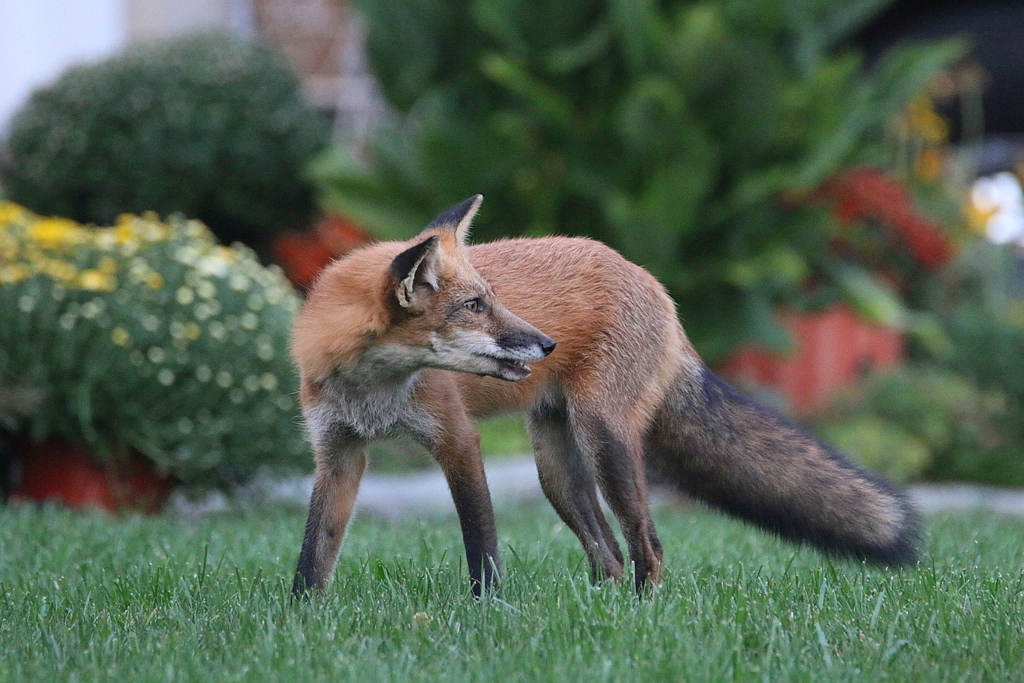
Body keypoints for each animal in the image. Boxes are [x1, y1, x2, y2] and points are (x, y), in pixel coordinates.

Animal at [290, 194, 921, 593]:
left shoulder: (457, 441)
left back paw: (641, 616)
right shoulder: (338, 452)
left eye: (490, 300)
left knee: (648, 548)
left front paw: (486, 613)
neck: (375, 392)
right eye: (474, 306)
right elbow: (314, 554)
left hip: (606, 441)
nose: (546, 343)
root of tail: (650, 280)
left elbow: (481, 547)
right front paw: (303, 619)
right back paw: (603, 613)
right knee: (609, 556)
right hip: (557, 470)